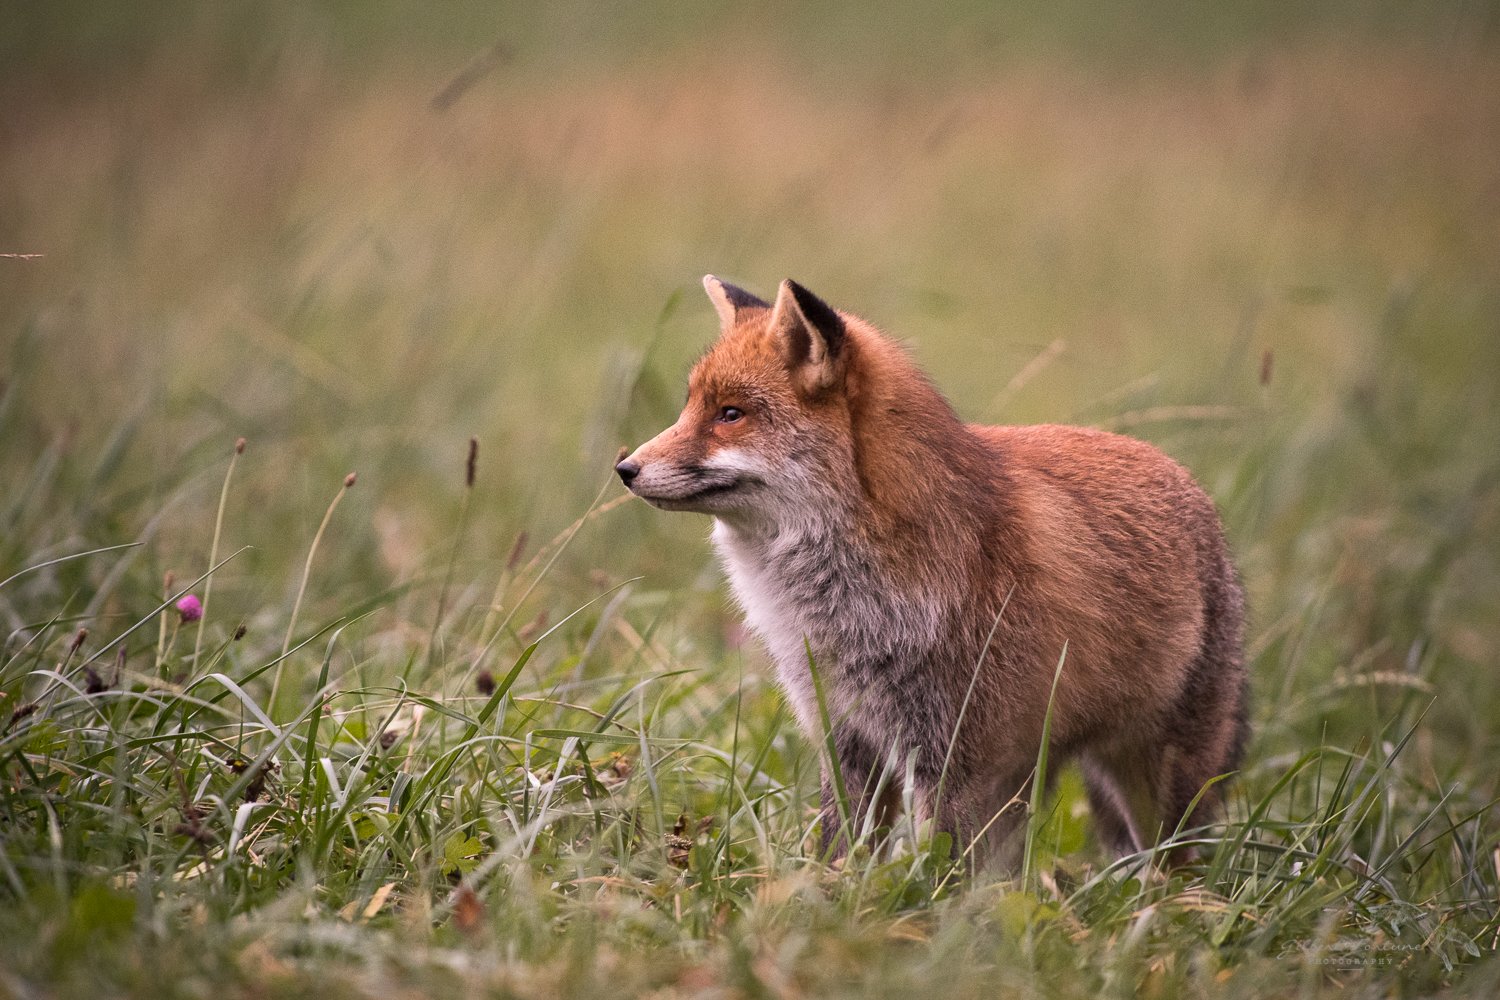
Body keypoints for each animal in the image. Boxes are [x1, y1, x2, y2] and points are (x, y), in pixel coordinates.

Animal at [615, 277, 1248, 863]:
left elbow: (943, 870)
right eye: (690, 407)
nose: (625, 468)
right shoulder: (846, 738)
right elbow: (842, 851)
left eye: (730, 414)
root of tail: (1188, 483)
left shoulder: (955, 756)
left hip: (1156, 780)